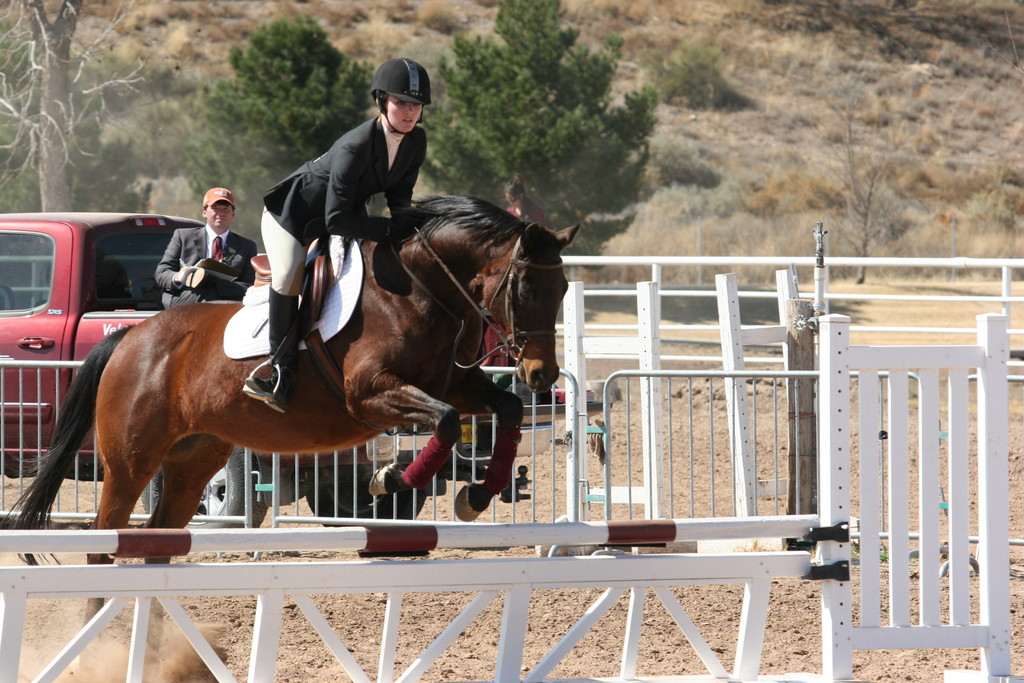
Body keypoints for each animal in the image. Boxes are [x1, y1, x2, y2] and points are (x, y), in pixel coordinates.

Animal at [12, 197, 581, 577]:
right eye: (525, 287)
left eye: (564, 288)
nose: (542, 375)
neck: (419, 290)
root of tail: (130, 337)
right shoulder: (370, 394)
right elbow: (440, 422)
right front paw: (391, 481)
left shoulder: (457, 384)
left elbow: (504, 409)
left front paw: (476, 495)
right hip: (131, 461)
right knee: (103, 540)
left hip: (192, 458)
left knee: (156, 539)